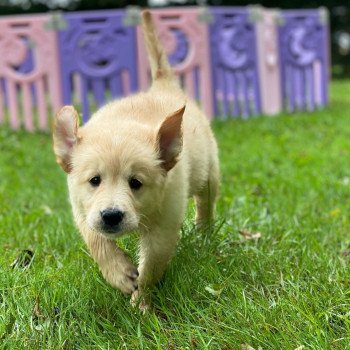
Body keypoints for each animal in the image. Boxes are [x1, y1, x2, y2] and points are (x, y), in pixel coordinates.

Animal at [52, 10, 219, 306]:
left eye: (136, 183)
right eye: (94, 180)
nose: (111, 216)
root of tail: (163, 86)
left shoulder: (164, 224)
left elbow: (151, 267)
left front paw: (142, 301)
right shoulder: (83, 211)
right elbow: (98, 242)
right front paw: (119, 274)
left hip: (208, 171)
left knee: (205, 201)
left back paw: (204, 231)